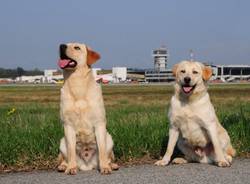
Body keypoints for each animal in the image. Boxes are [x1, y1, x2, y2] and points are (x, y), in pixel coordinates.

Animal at [57, 42, 118, 175]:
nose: (61, 46)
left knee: (108, 156)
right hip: (62, 141)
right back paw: (64, 166)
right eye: (65, 44)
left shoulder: (99, 123)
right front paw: (71, 168)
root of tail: (87, 166)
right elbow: (71, 152)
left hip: (109, 138)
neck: (77, 84)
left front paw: (105, 167)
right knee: (65, 157)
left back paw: (112, 165)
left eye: (77, 47)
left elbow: (102, 150)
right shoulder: (68, 125)